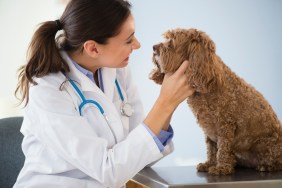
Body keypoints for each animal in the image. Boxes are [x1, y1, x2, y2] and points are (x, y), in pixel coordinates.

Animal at [151, 27, 282, 175]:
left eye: (172, 41)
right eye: (167, 38)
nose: (154, 47)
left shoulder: (225, 125)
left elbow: (222, 147)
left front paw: (221, 167)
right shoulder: (210, 129)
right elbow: (212, 148)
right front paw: (209, 164)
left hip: (265, 145)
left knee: (276, 162)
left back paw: (266, 166)